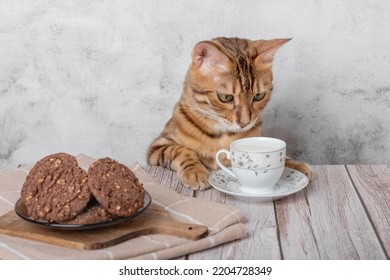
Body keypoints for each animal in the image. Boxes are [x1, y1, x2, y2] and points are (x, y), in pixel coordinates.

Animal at [145, 37, 312, 190]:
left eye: (259, 96)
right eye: (225, 97)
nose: (245, 123)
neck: (222, 134)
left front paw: (294, 164)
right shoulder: (157, 147)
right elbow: (181, 150)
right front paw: (195, 171)